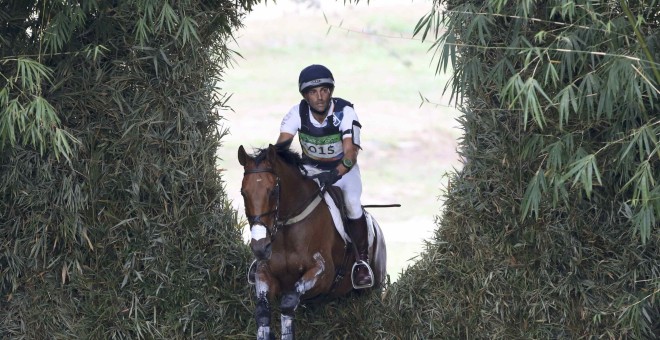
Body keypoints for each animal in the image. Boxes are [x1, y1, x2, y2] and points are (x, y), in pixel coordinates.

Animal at [238, 144, 386, 340]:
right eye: (243, 192)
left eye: (273, 191)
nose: (260, 248)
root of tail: (377, 228)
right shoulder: (265, 273)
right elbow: (262, 311)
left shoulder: (322, 273)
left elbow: (288, 302)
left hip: (373, 286)